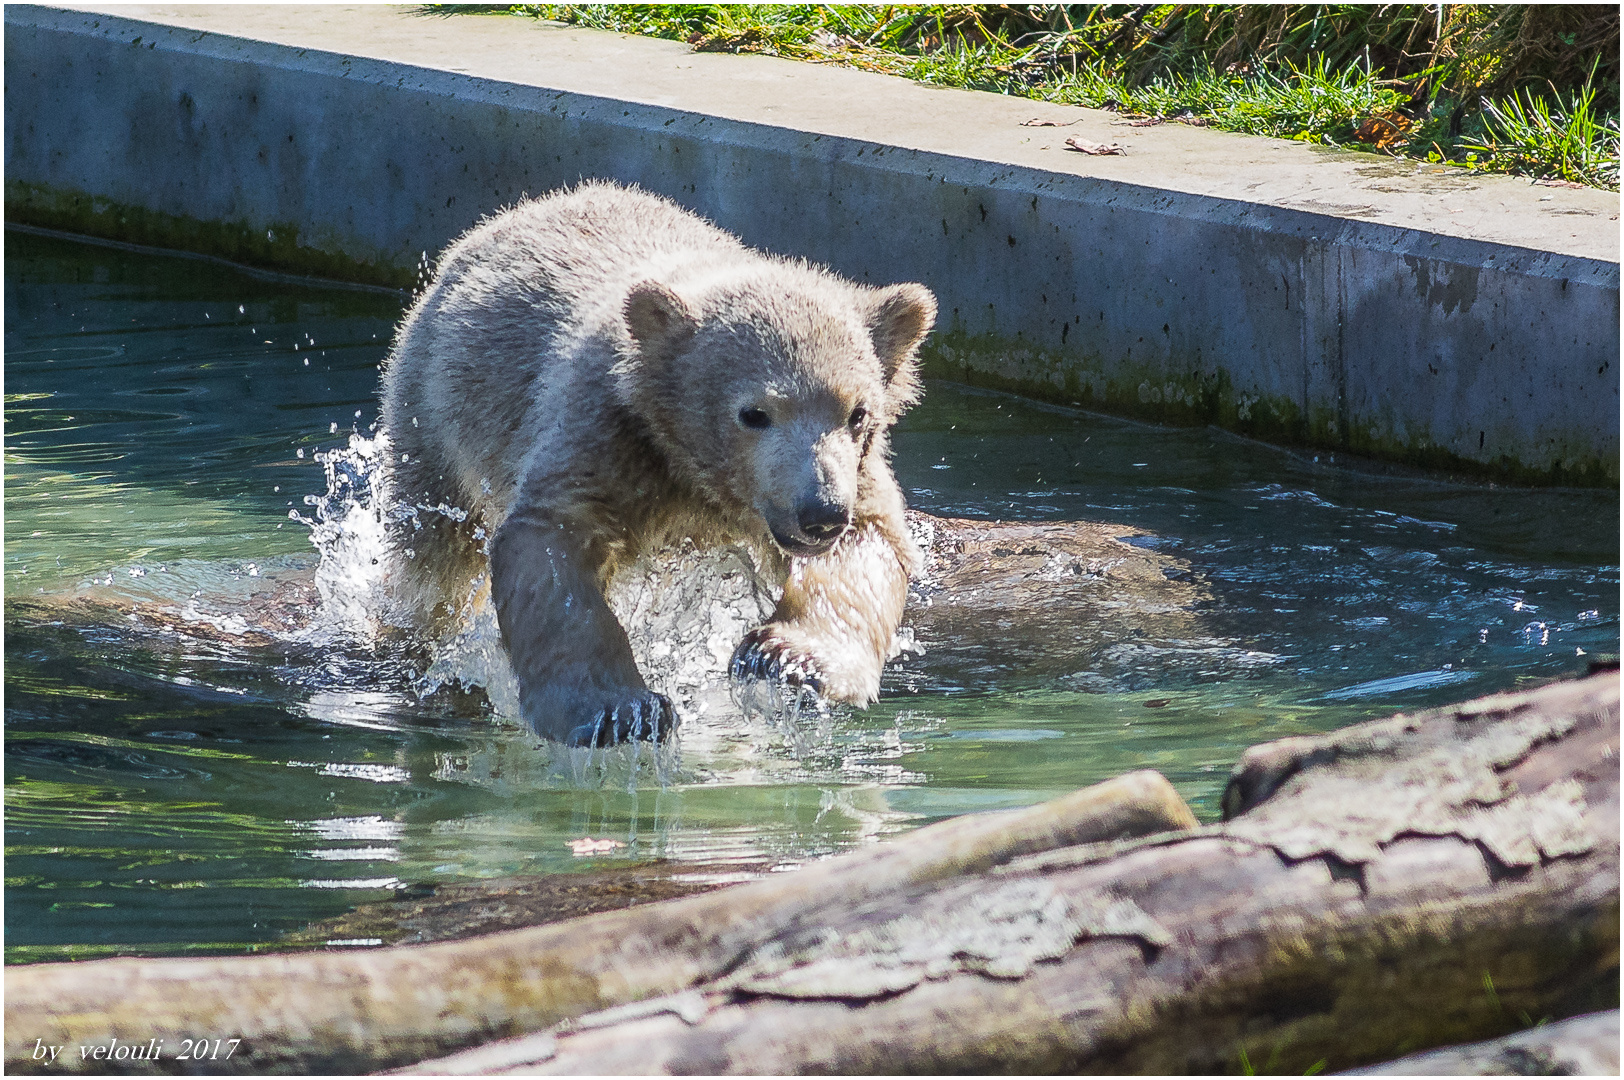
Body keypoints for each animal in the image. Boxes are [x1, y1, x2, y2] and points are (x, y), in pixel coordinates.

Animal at [378, 178, 935, 750]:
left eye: (858, 412)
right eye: (754, 413)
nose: (819, 512)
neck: (691, 472)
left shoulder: (857, 475)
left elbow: (868, 543)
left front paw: (788, 658)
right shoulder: (606, 433)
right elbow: (550, 542)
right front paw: (618, 710)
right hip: (432, 416)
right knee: (435, 562)